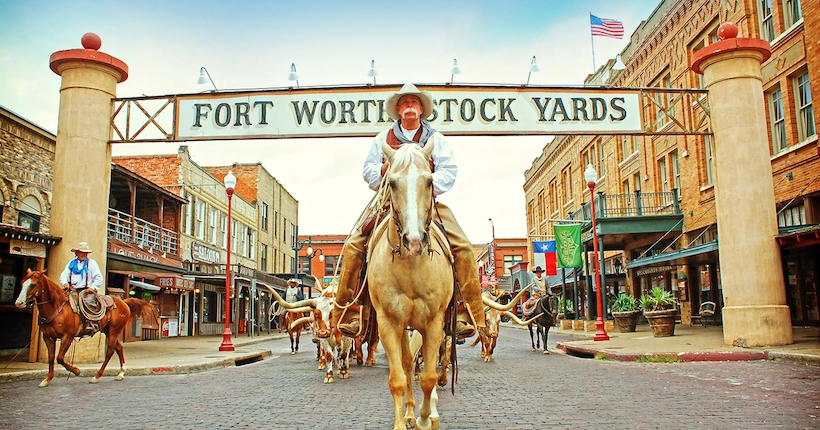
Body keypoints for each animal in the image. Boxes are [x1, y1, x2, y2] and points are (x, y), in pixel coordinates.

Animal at [14, 268, 155, 386]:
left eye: (33, 284)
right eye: (22, 283)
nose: (19, 303)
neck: (57, 307)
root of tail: (123, 302)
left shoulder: (67, 336)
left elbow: (59, 358)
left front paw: (76, 371)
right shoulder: (48, 337)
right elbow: (51, 357)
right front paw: (47, 379)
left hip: (114, 331)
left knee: (110, 351)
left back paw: (96, 376)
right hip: (108, 331)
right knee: (119, 348)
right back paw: (121, 373)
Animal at [368, 141, 452, 430]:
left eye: (430, 181)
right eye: (392, 183)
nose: (414, 241)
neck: (412, 268)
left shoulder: (434, 322)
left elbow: (428, 377)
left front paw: (427, 417)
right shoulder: (388, 323)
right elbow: (398, 378)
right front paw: (403, 421)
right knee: (406, 363)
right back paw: (408, 412)